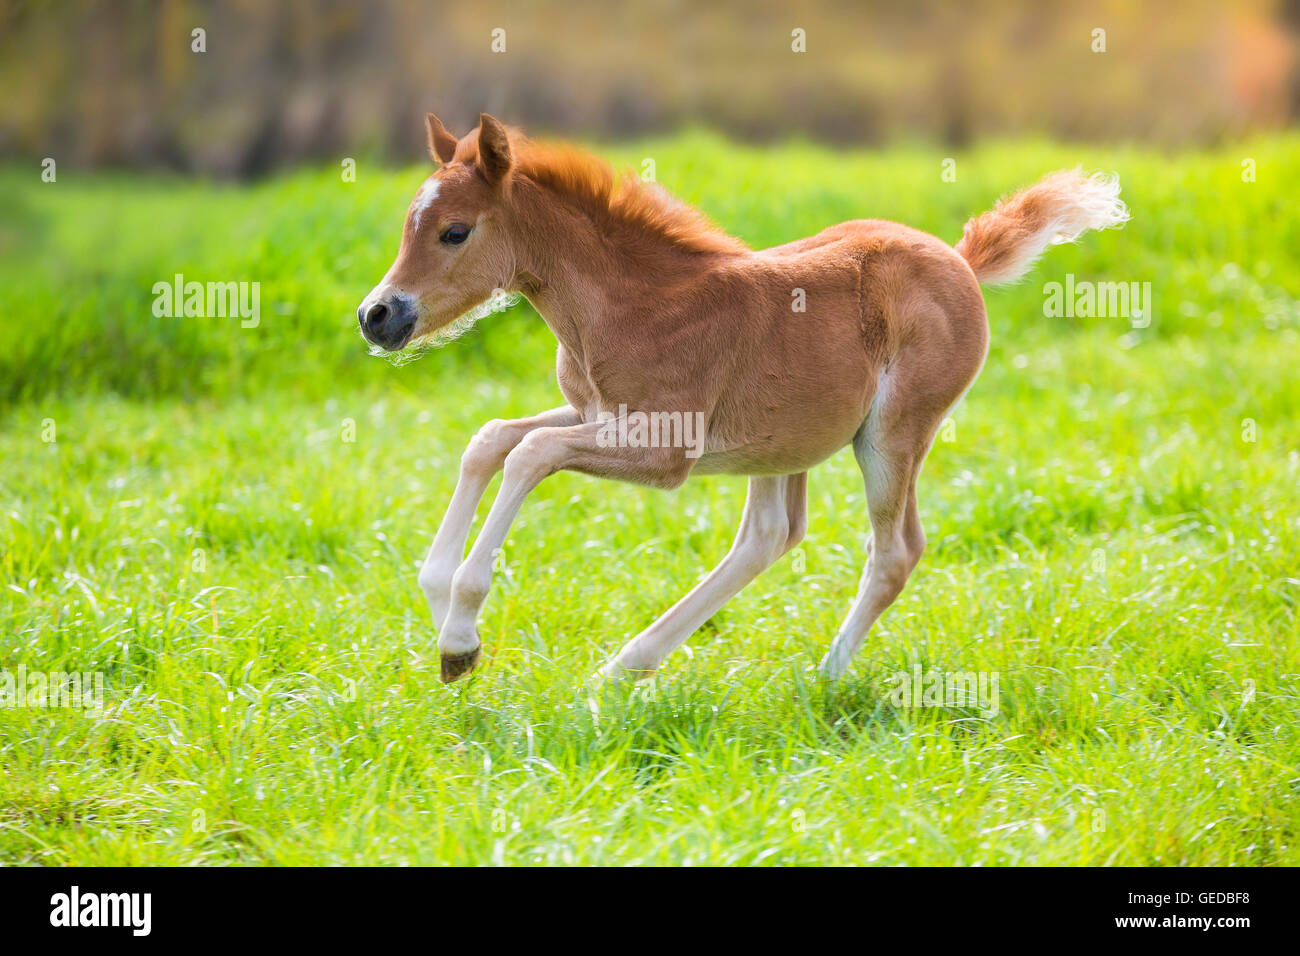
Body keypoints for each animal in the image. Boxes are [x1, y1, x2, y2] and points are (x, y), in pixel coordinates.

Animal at [357, 112, 1128, 684]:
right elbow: (490, 439)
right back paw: (626, 666)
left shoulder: (665, 450)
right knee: (769, 536)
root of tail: (962, 262)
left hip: (894, 433)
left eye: (455, 232)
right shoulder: (597, 413)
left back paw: (825, 679)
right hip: (783, 441)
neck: (631, 303)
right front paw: (440, 604)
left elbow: (529, 454)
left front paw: (460, 637)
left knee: (894, 550)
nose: (377, 316)